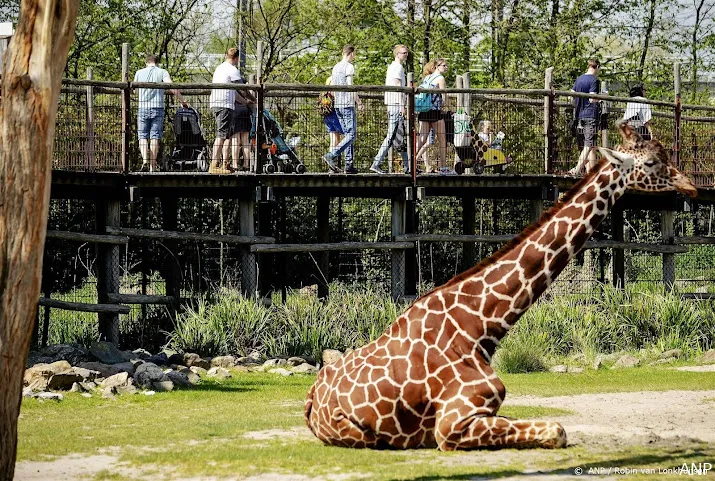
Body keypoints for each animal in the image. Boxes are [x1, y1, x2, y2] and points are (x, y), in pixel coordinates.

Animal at [304, 123, 696, 450]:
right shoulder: (452, 425)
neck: (480, 328)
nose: (690, 185)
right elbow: (558, 430)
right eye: (651, 162)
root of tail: (310, 401)